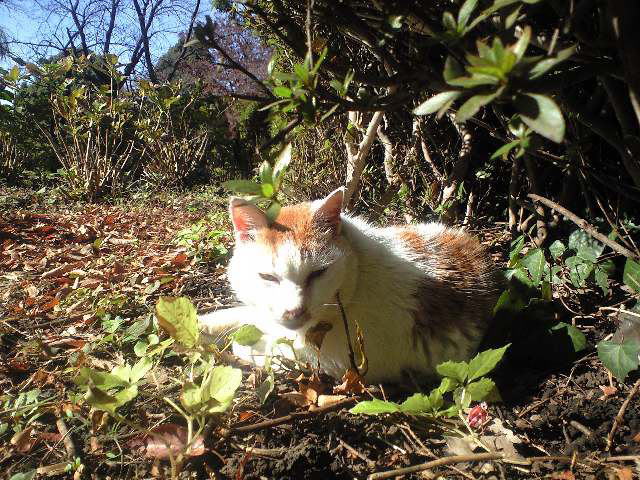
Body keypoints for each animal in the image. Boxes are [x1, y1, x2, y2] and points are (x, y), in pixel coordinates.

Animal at [199, 187, 502, 384]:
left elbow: (264, 347)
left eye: (318, 273)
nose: (294, 311)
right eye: (267, 277)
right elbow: (240, 315)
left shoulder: (342, 362)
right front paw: (203, 326)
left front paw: (242, 343)